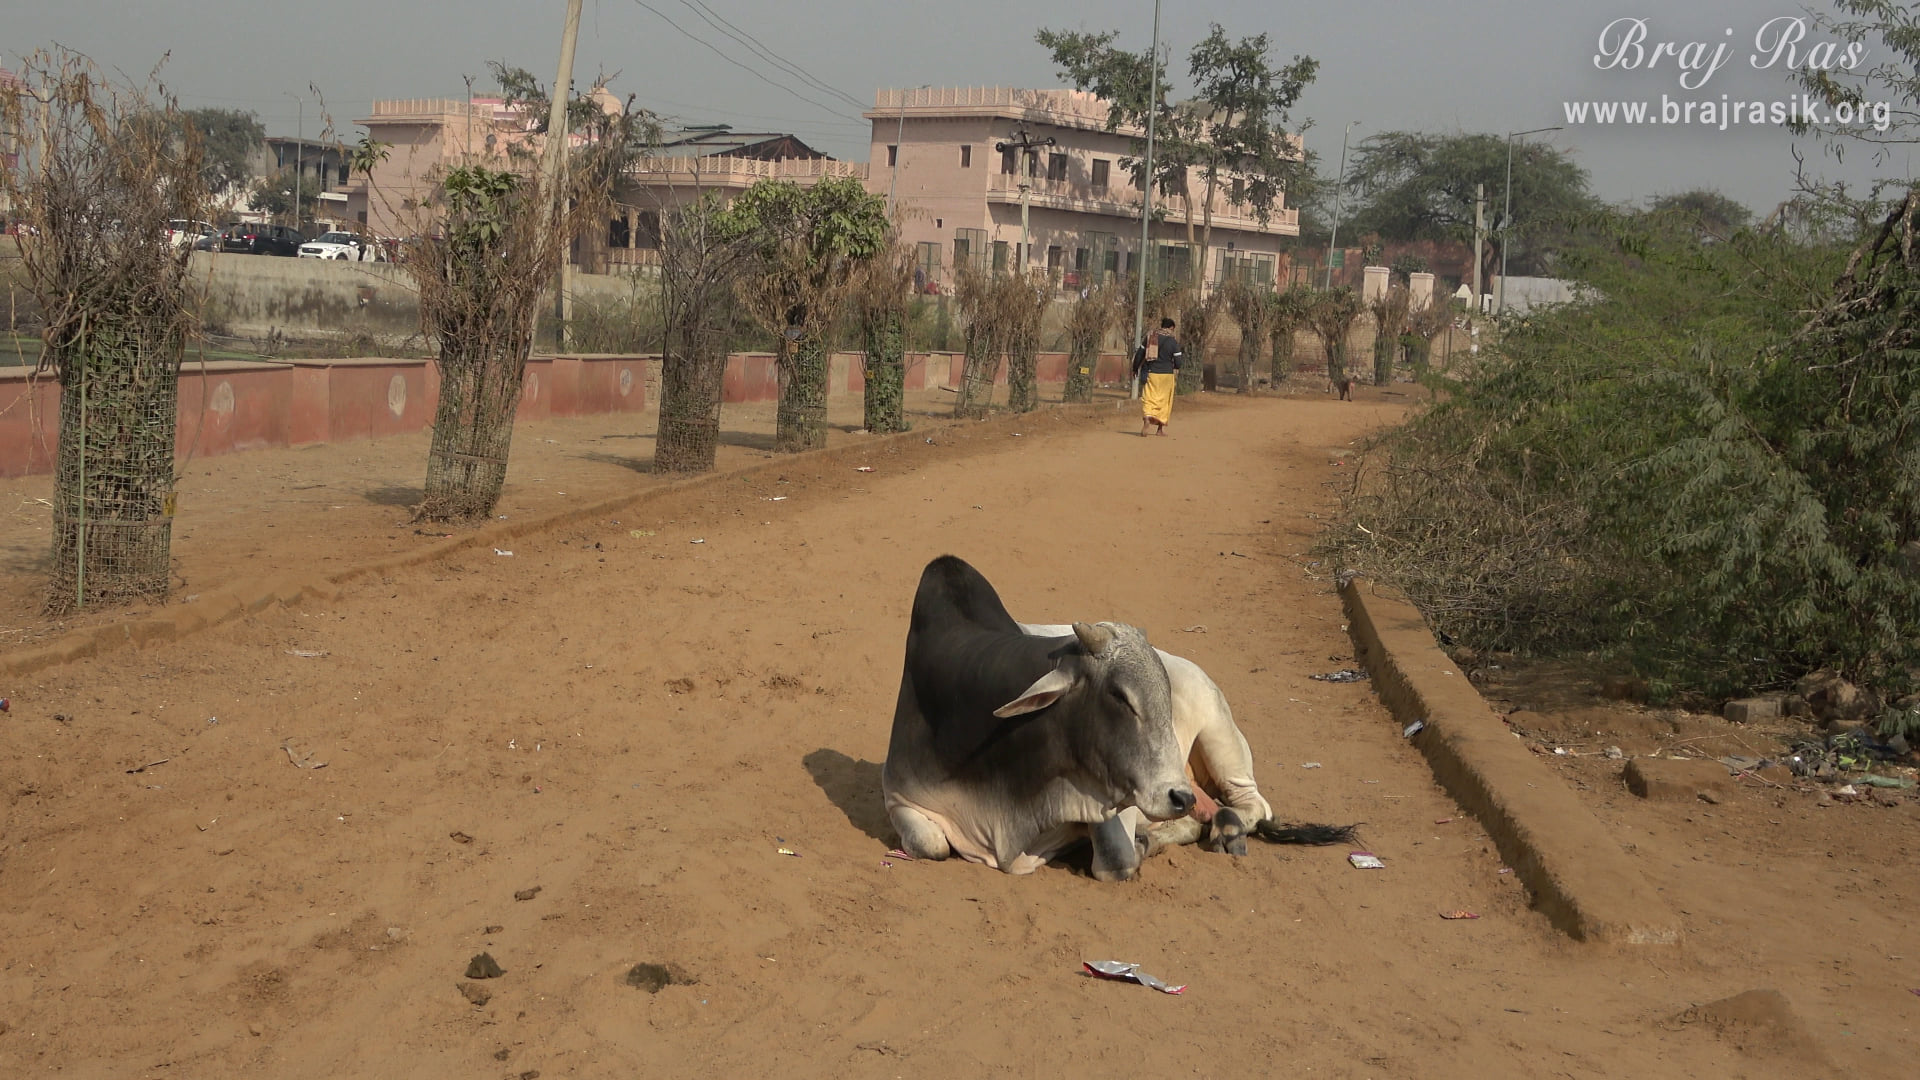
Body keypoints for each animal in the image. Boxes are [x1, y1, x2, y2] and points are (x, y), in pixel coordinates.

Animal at [882, 555, 1196, 881]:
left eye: (1165, 693)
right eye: (1120, 696)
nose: (1181, 798)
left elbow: (1115, 860)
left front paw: (1144, 840)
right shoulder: (898, 795)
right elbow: (931, 845)